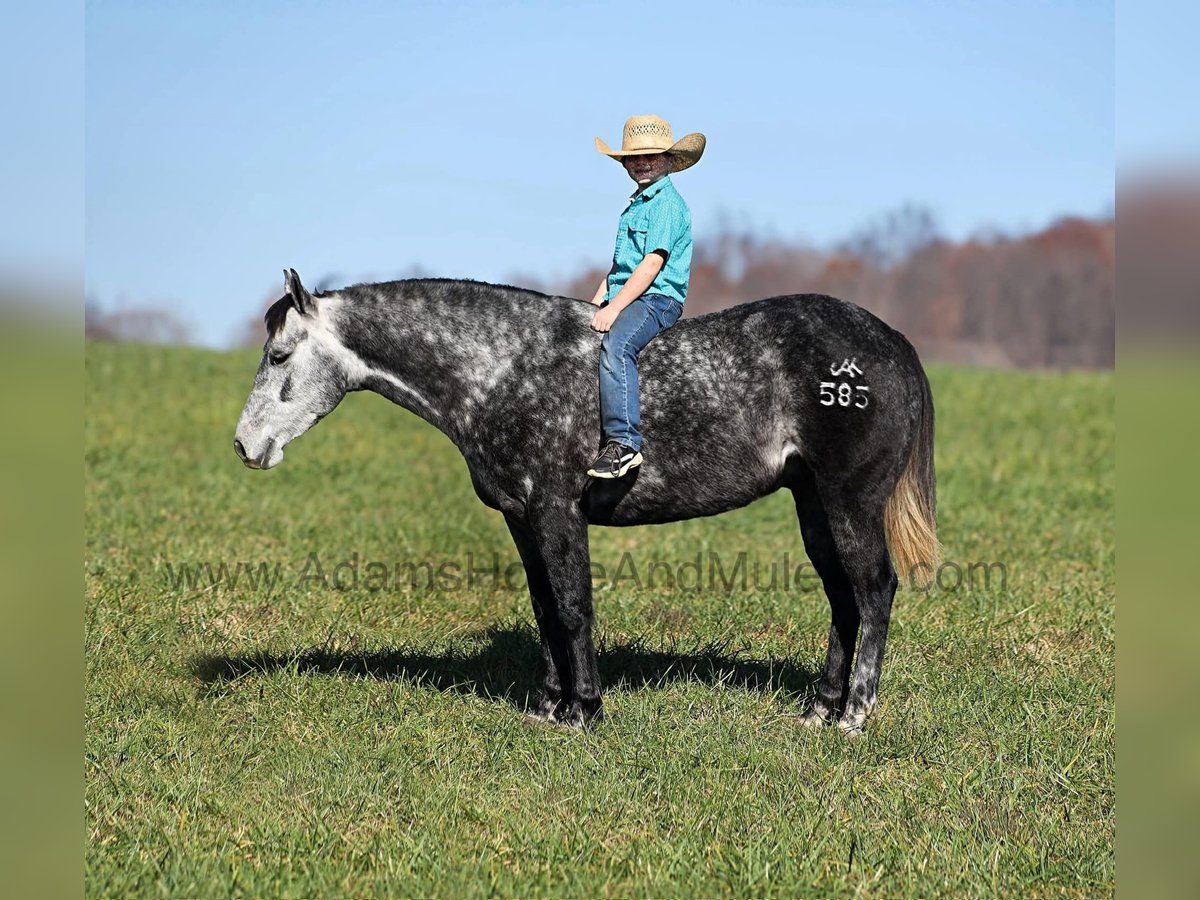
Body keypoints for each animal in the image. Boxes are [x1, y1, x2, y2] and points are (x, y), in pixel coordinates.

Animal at [234, 269, 939, 735]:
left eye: (279, 354)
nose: (245, 446)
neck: (505, 367)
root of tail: (890, 340)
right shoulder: (522, 518)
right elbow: (546, 607)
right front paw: (549, 704)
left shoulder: (557, 509)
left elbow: (574, 608)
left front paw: (586, 710)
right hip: (813, 506)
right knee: (844, 599)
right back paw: (820, 707)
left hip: (849, 502)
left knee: (874, 590)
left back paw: (854, 714)